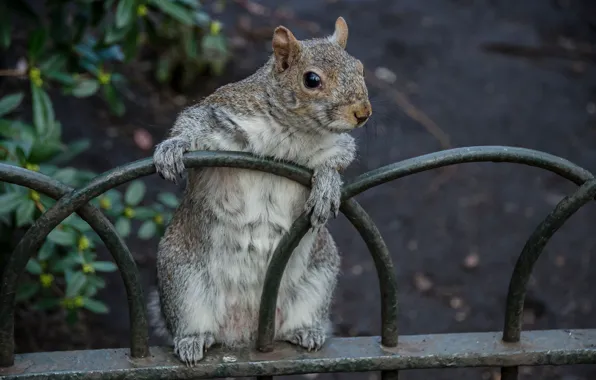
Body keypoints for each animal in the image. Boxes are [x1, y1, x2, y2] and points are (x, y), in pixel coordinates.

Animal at [148, 17, 372, 366]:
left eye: (359, 67)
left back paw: (306, 331)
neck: (296, 130)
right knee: (191, 321)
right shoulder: (221, 114)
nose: (363, 113)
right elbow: (190, 123)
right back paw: (192, 340)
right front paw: (173, 148)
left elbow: (336, 161)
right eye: (311, 80)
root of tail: (246, 329)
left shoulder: (336, 146)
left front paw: (326, 186)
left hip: (318, 277)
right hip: (182, 280)